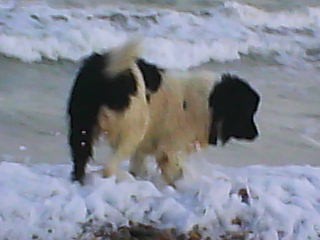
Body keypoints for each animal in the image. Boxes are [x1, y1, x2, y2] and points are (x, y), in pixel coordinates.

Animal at [68, 41, 260, 185]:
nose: (256, 134)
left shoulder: (145, 148)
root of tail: (106, 71)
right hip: (133, 129)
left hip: (83, 126)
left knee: (81, 159)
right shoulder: (170, 149)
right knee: (109, 166)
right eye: (246, 111)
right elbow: (175, 172)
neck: (208, 102)